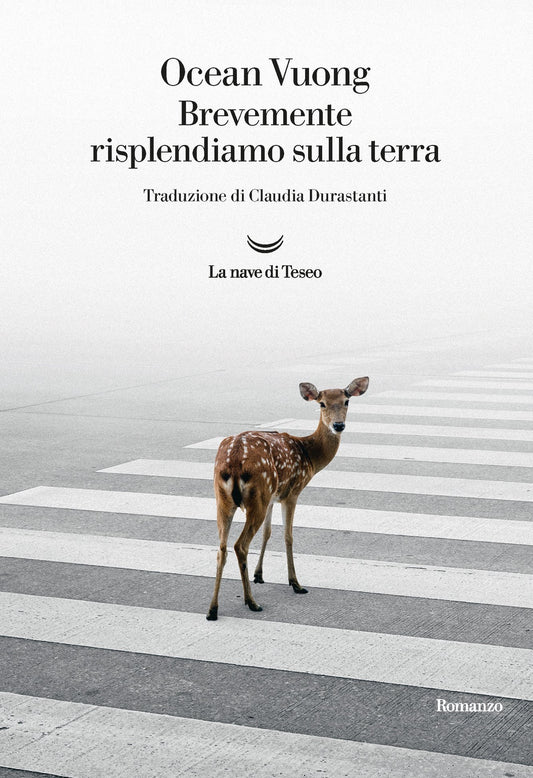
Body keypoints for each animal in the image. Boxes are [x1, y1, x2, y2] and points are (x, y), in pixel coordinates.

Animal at [206, 376, 369, 620]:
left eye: (346, 401)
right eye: (321, 403)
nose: (338, 425)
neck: (309, 455)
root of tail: (234, 462)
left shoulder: (273, 497)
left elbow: (267, 533)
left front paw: (259, 574)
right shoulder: (292, 492)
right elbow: (288, 536)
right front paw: (295, 583)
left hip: (225, 499)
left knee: (221, 548)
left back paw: (212, 609)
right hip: (257, 496)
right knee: (239, 546)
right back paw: (251, 602)